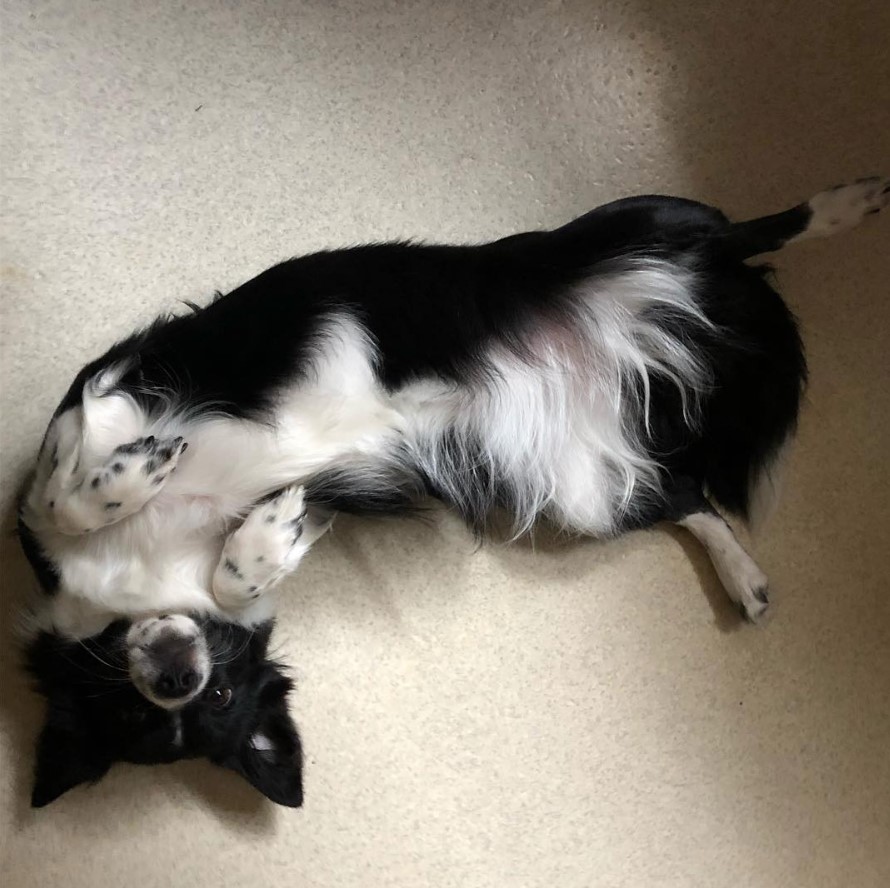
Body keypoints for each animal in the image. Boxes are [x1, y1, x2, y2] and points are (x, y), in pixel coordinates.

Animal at [15, 177, 888, 808]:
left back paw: (847, 204)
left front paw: (139, 480)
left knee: (746, 228)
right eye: (140, 718)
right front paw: (269, 533)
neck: (148, 566)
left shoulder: (104, 390)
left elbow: (61, 492)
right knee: (685, 496)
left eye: (218, 691)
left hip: (623, 230)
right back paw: (743, 577)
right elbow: (230, 570)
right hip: (585, 491)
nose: (177, 677)